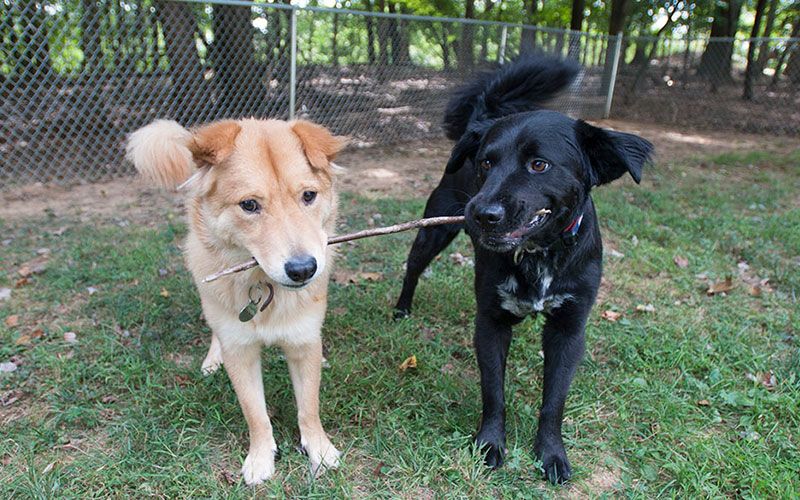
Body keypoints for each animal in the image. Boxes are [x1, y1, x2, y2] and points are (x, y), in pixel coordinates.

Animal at [392, 57, 648, 484]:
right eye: (486, 163)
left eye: (539, 164)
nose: (481, 214)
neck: (538, 255)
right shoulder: (491, 323)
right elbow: (494, 390)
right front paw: (490, 444)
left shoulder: (568, 329)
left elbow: (554, 400)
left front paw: (551, 453)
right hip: (434, 231)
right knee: (412, 268)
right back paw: (401, 309)